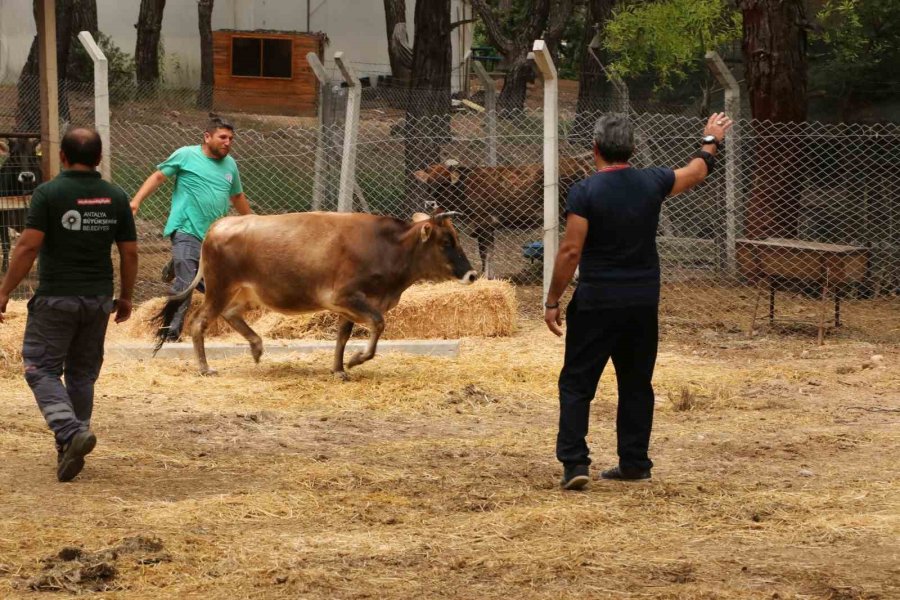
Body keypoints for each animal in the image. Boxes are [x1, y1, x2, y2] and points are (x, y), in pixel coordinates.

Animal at [153, 211, 478, 378]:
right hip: (220, 288)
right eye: (446, 241)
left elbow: (343, 336)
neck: (387, 248)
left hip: (245, 292)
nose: (472, 274)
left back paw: (257, 348)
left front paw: (339, 369)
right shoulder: (345, 297)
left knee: (231, 315)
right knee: (199, 322)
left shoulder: (352, 306)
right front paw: (357, 359)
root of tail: (218, 225)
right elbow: (377, 323)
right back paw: (206, 368)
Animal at [414, 155, 596, 276]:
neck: (463, 189)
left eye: (444, 182)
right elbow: (490, 253)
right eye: (428, 182)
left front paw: (485, 277)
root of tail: (580, 163)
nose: (429, 203)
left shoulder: (484, 224)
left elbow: (485, 255)